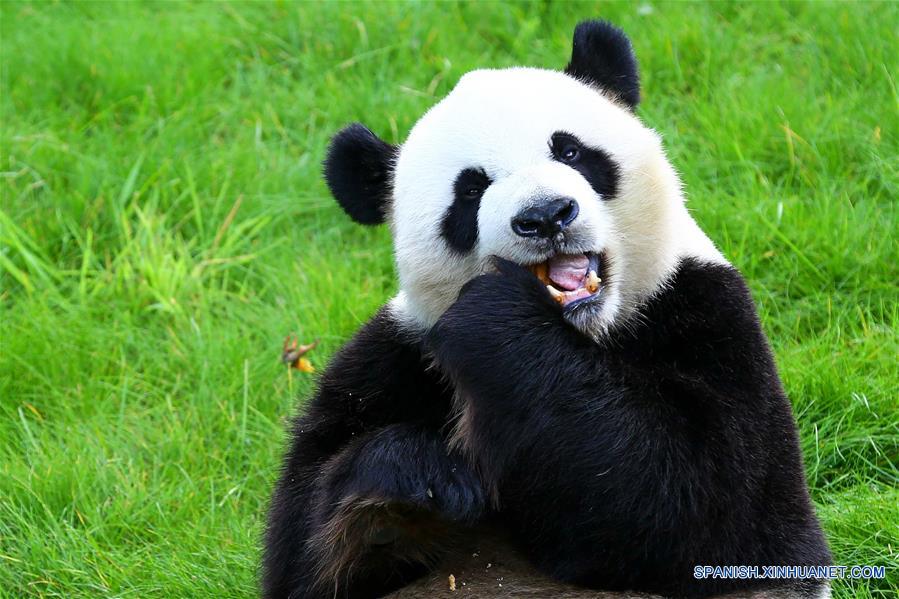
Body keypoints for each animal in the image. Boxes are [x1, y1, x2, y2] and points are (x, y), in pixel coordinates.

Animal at [264, 19, 832, 599]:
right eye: (471, 190)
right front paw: (415, 488)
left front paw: (496, 320)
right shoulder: (398, 356)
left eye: (571, 152)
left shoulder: (707, 314)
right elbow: (299, 545)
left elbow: (705, 502)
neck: (583, 338)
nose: (546, 216)